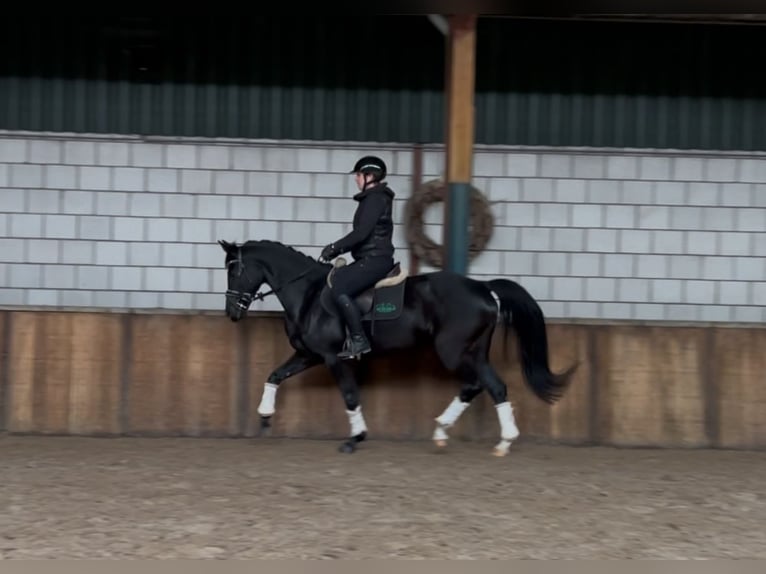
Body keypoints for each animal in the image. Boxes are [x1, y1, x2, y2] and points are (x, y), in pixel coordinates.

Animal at [216, 241, 576, 456]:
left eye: (234, 269)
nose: (232, 312)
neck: (309, 294)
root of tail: (483, 288)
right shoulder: (309, 355)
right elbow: (274, 375)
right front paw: (265, 416)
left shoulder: (332, 358)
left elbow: (350, 395)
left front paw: (356, 437)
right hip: (472, 351)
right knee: (483, 385)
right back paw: (450, 433)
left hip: (454, 351)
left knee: (488, 385)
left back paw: (499, 440)